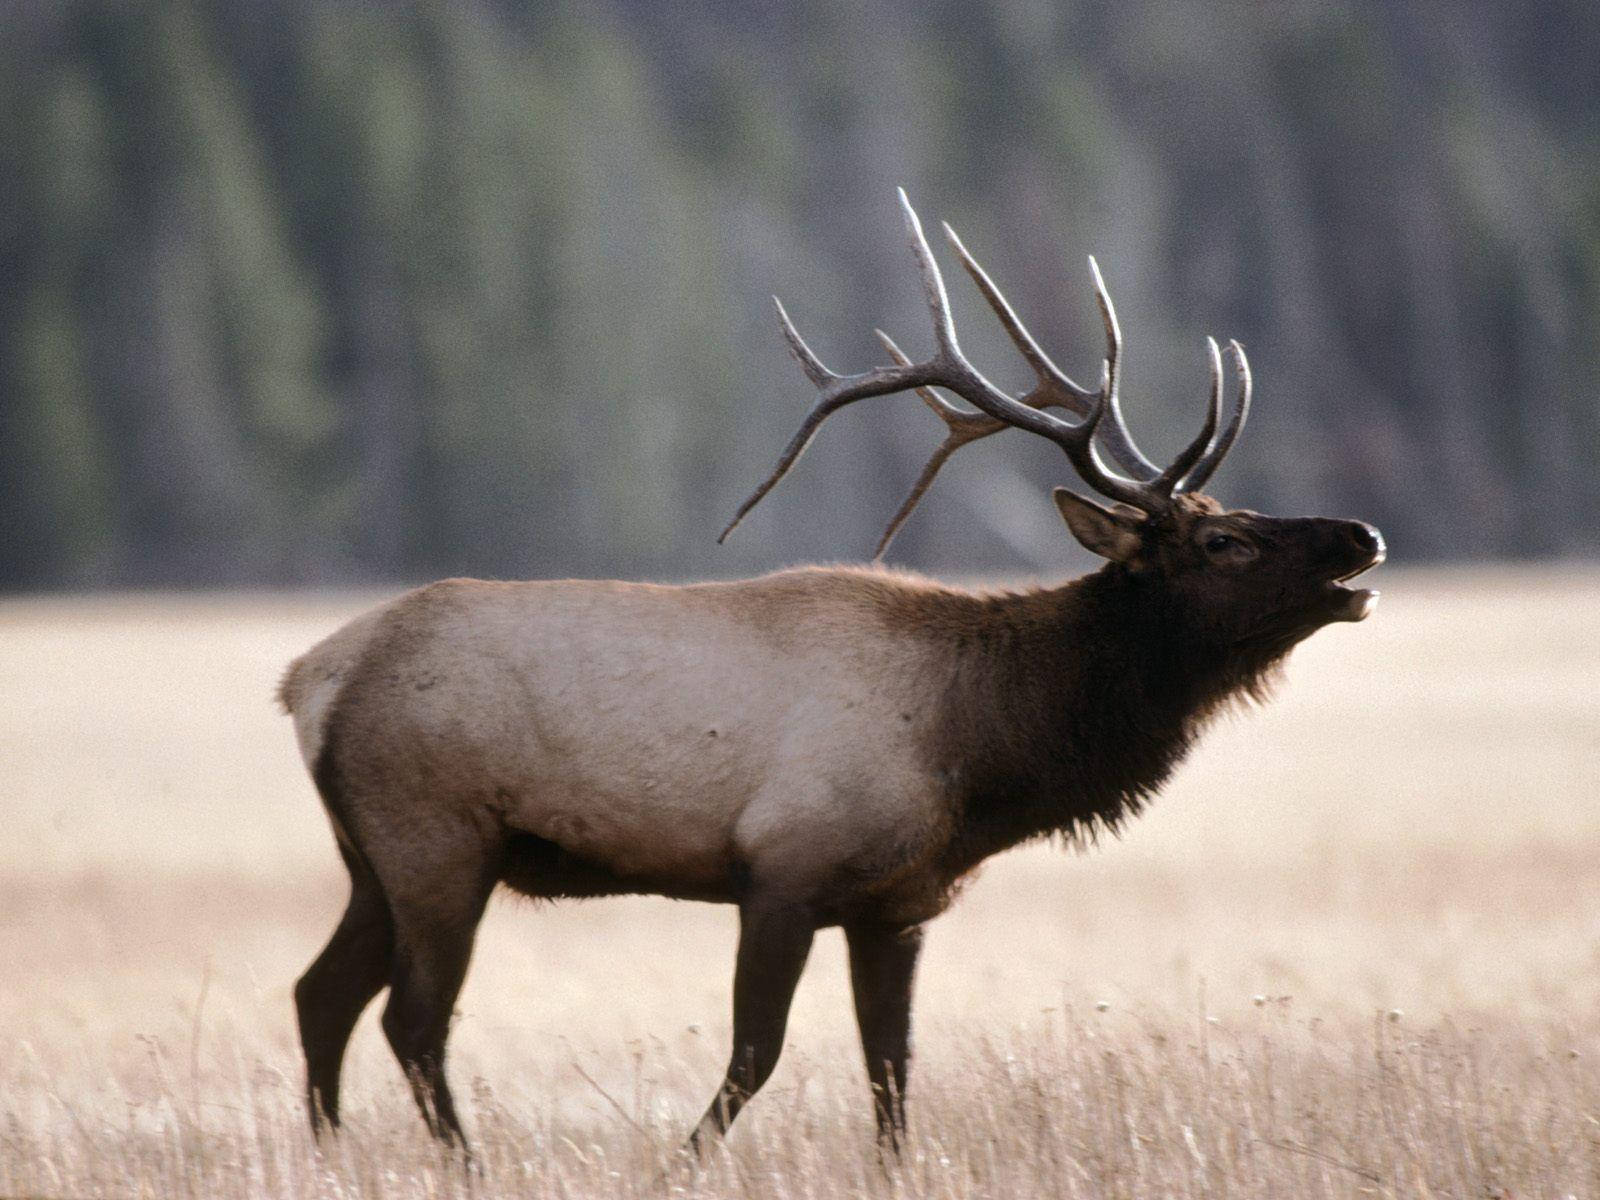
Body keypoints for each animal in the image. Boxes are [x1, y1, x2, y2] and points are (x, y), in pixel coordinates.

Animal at [280, 190, 1384, 1157]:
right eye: (1225, 542)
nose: (1362, 536)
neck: (978, 750)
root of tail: (312, 679)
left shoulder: (897, 904)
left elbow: (890, 1073)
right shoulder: (783, 868)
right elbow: (753, 1057)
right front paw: (678, 1164)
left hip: (371, 857)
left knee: (320, 994)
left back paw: (332, 1155)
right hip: (437, 842)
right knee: (411, 1022)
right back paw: (460, 1164)